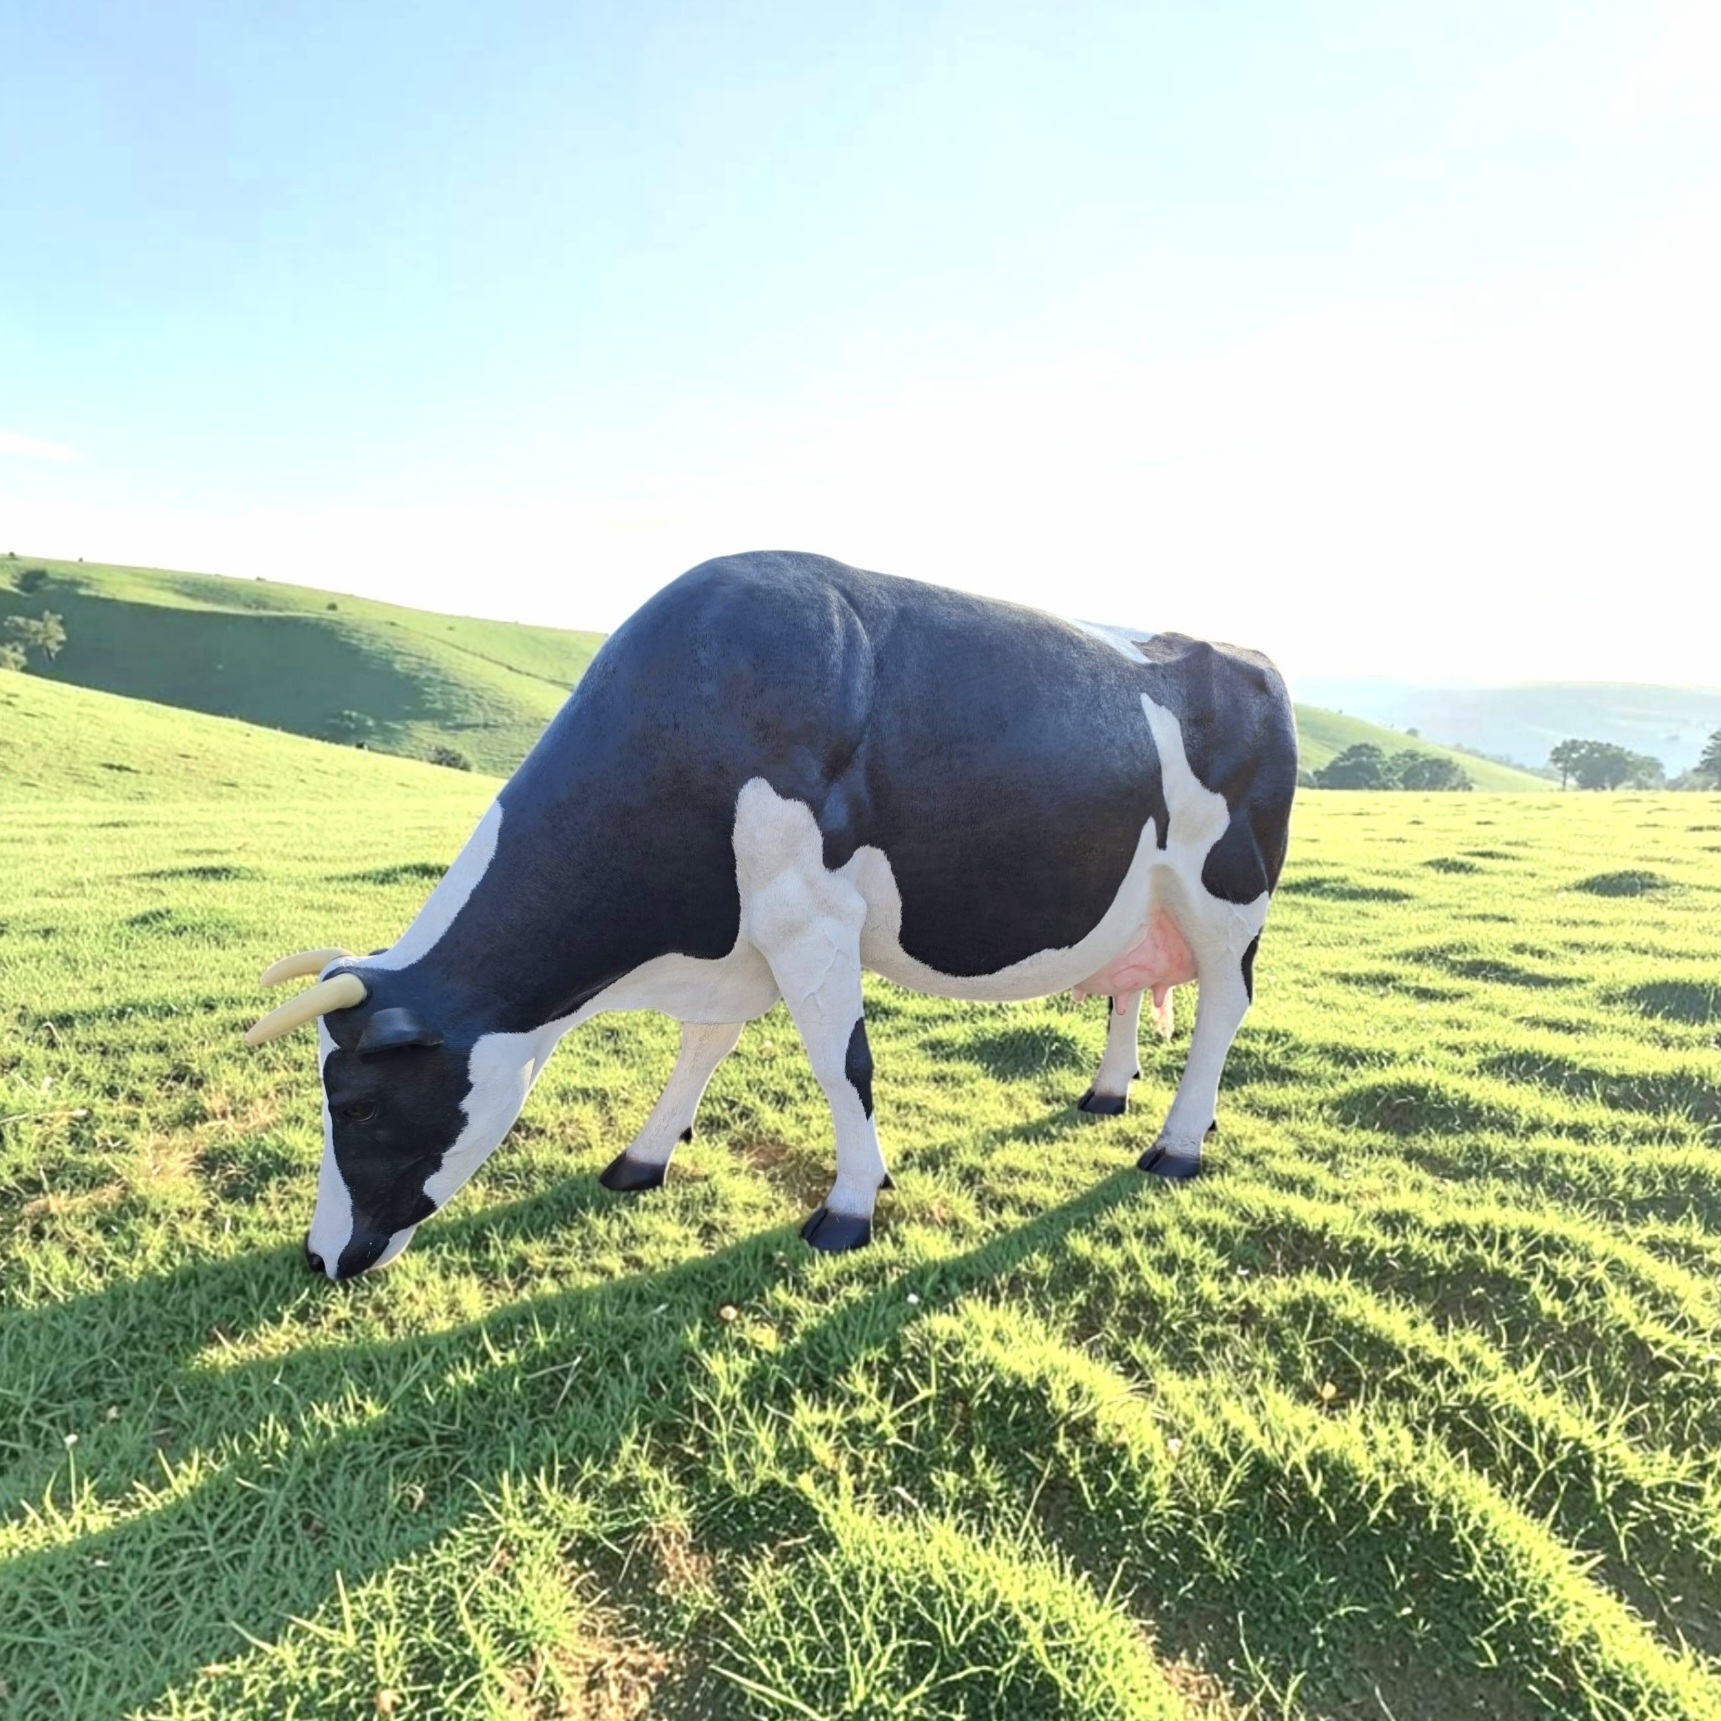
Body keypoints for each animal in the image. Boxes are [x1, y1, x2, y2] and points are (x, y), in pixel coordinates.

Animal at [246, 551, 1296, 1280]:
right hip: (1141, 901)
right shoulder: (741, 941)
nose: (319, 1256)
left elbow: (843, 1066)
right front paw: (643, 1155)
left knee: (1222, 1007)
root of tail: (1246, 654)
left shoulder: (808, 913)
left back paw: (1176, 1143)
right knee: (1127, 987)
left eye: (356, 1101)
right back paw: (1108, 1091)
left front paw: (851, 1205)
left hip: (1226, 893)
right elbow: (700, 1049)